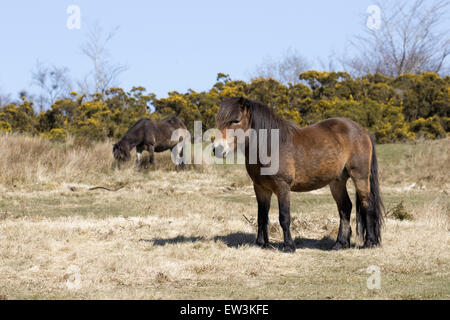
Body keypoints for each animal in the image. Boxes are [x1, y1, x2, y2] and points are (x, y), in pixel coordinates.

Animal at [214, 97, 384, 252]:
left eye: (235, 120)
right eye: (219, 121)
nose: (217, 149)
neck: (270, 146)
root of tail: (363, 131)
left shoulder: (283, 187)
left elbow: (284, 217)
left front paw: (289, 246)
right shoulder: (261, 188)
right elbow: (262, 216)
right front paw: (262, 244)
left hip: (360, 177)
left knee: (367, 204)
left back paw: (369, 242)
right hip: (337, 182)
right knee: (345, 207)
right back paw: (340, 244)